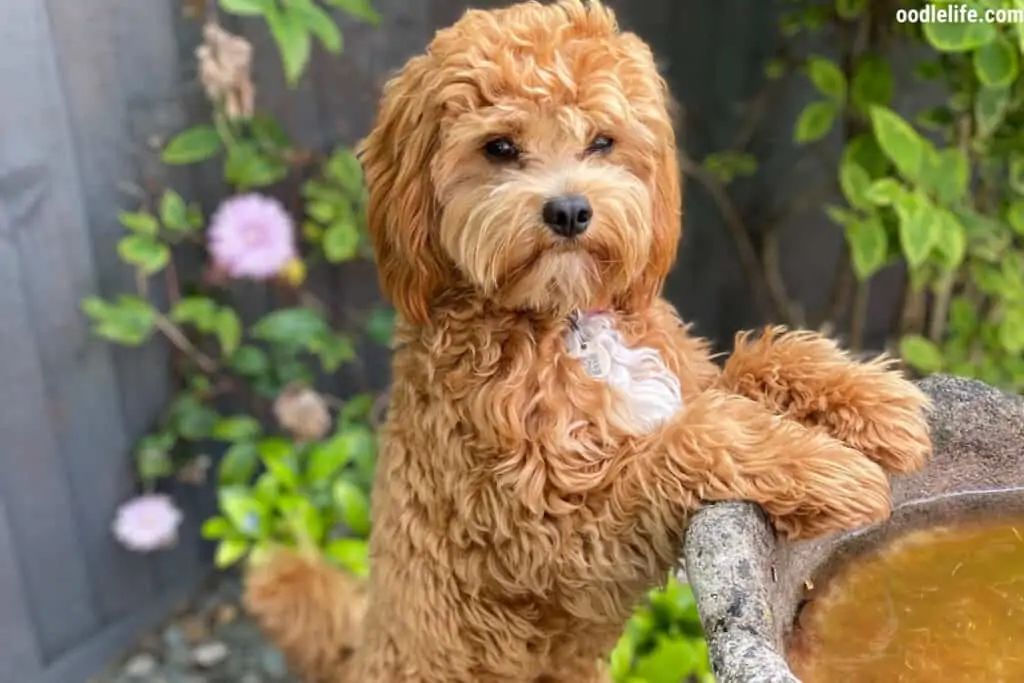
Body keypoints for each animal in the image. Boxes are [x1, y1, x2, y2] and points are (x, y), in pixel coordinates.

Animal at [243, 2, 933, 679]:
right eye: (499, 147)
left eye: (602, 140)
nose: (570, 211)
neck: (568, 319)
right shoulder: (557, 538)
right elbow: (692, 439)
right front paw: (828, 468)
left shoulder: (682, 378)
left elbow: (760, 360)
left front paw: (873, 402)